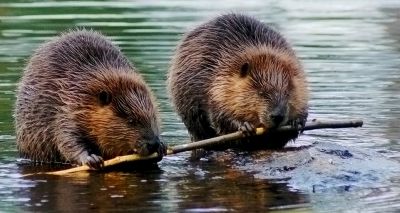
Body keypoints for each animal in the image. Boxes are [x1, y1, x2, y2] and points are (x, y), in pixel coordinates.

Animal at [15, 29, 166, 168]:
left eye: (153, 117)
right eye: (131, 120)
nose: (153, 143)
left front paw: (162, 146)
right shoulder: (67, 109)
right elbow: (67, 139)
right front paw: (91, 158)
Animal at [167, 13, 308, 153]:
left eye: (287, 93)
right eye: (261, 93)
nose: (277, 116)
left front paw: (297, 121)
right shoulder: (218, 85)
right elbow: (219, 117)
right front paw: (244, 126)